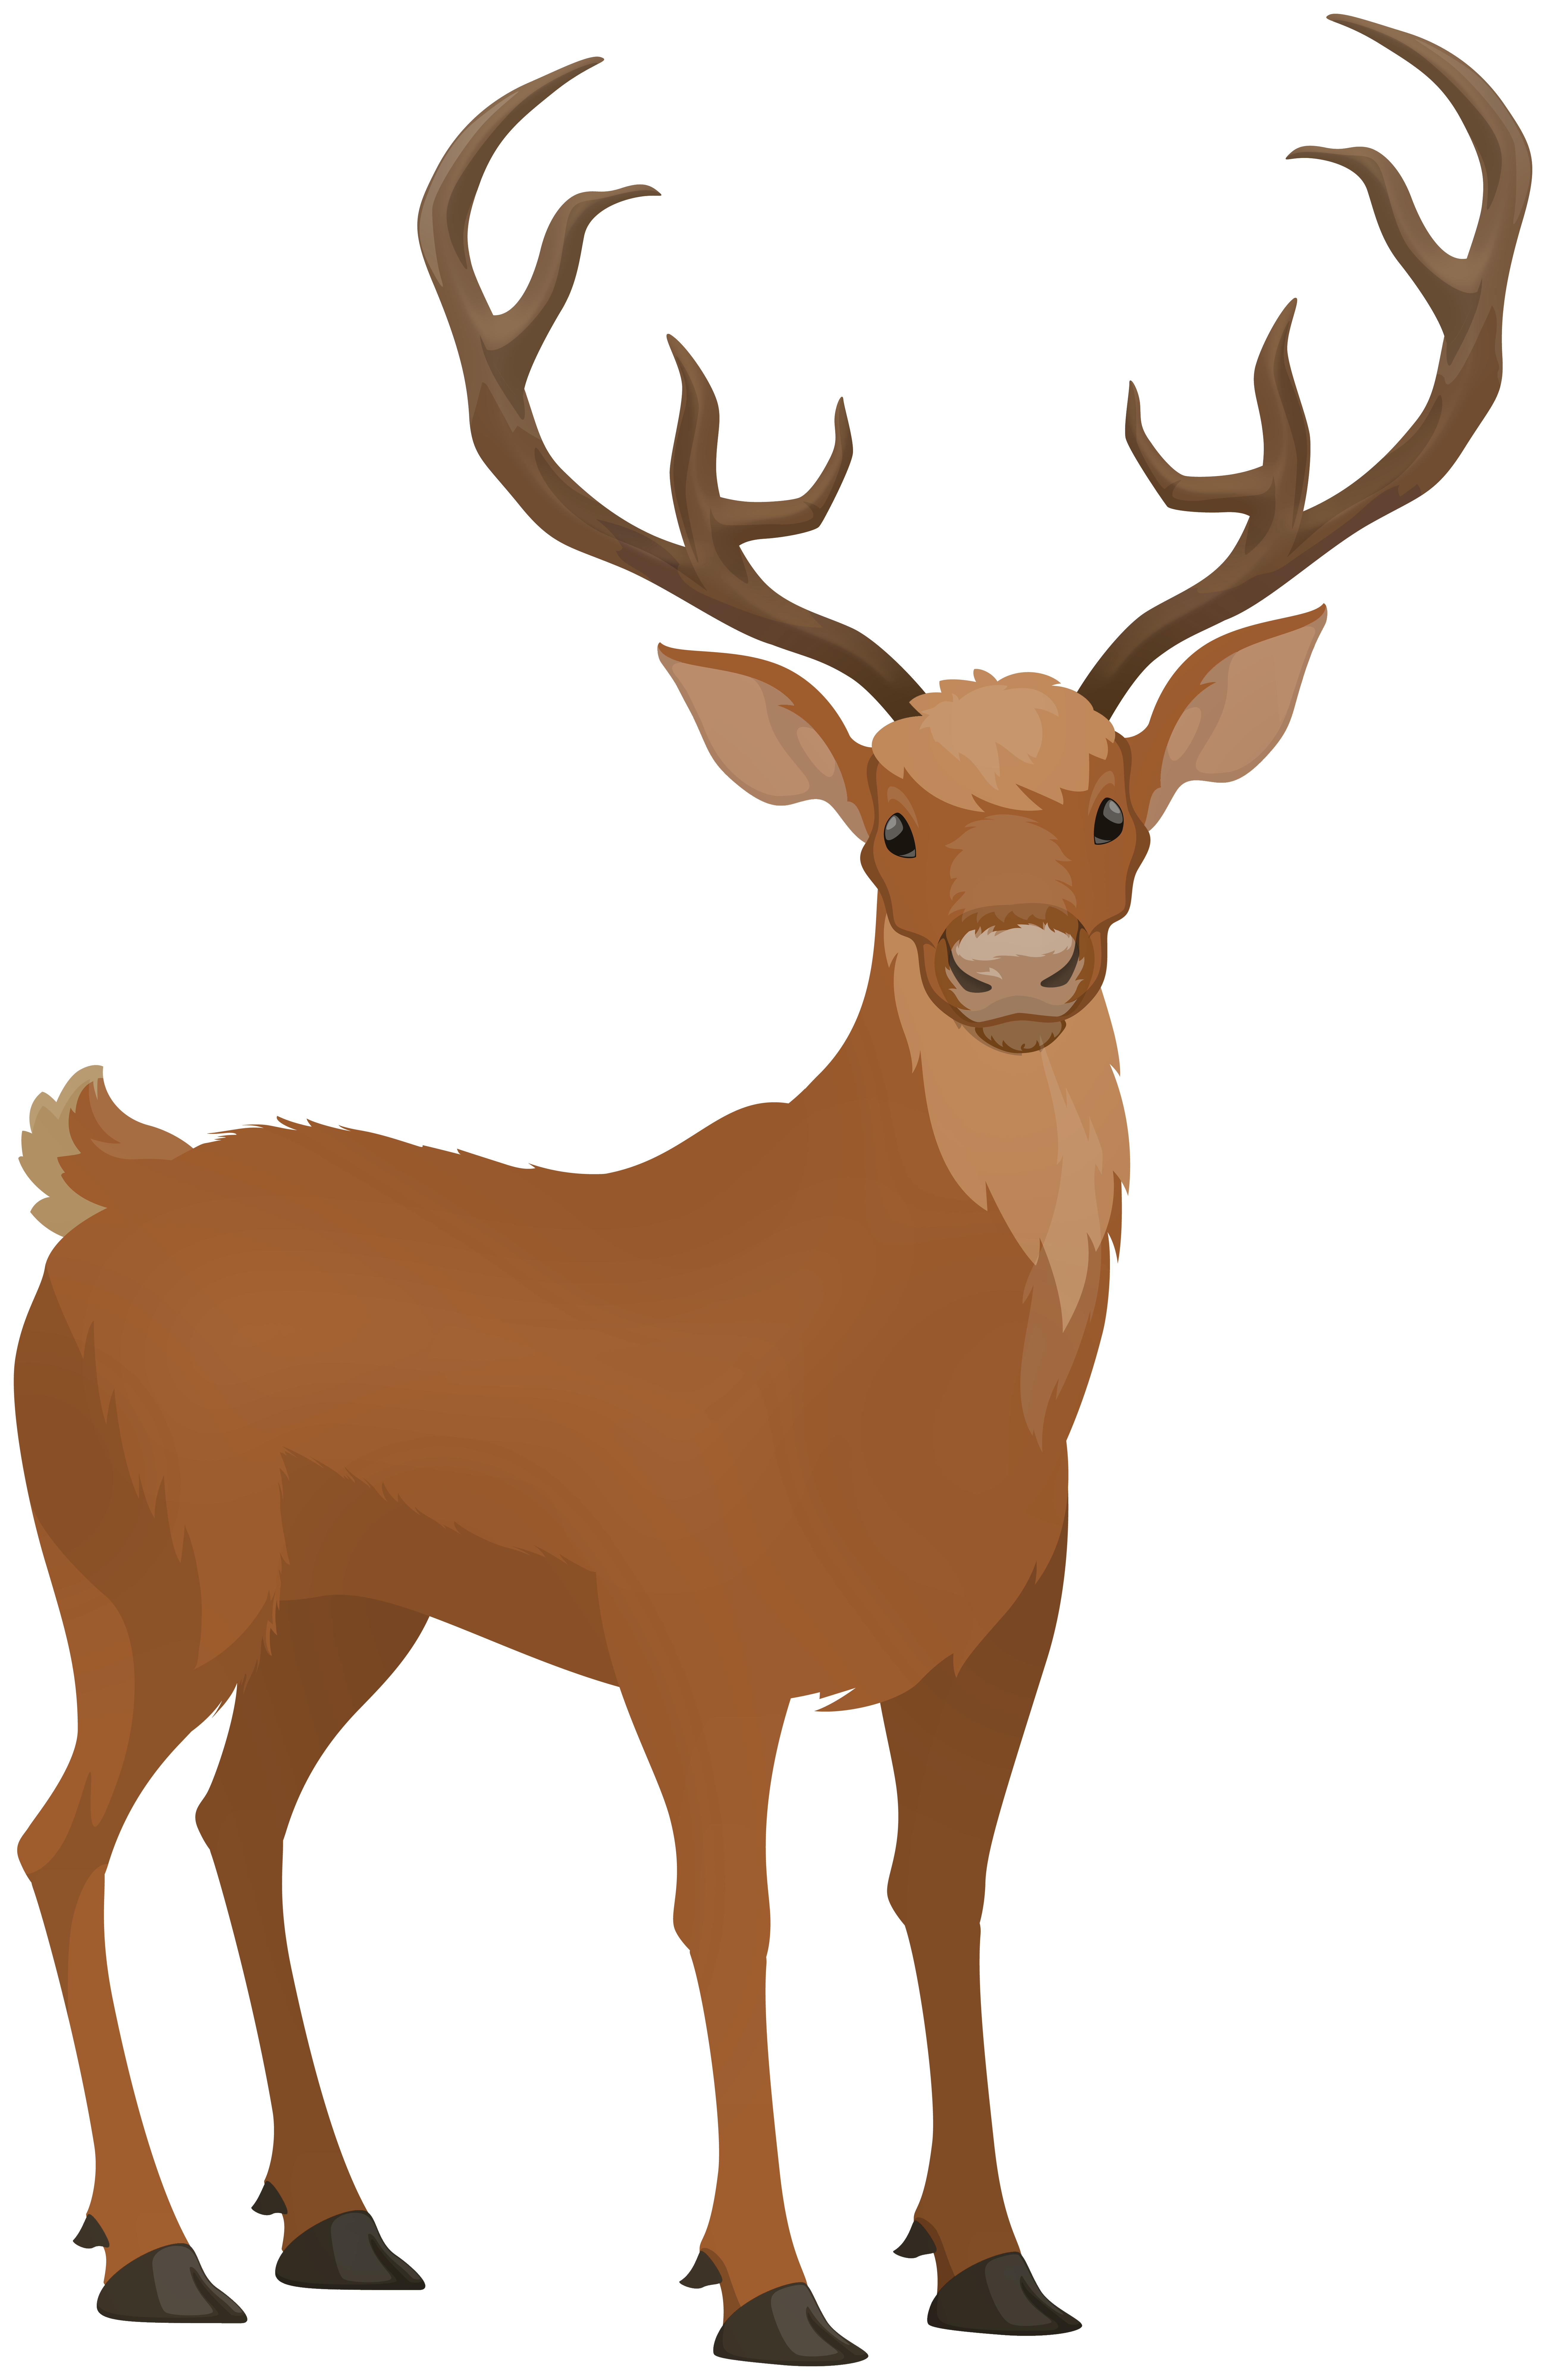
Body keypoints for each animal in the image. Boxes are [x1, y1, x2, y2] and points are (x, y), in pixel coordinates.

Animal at [16, 13, 1525, 2360]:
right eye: (889, 828)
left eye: (1109, 807)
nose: (1015, 961)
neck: (880, 1377)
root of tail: (96, 1194)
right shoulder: (687, 1619)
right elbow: (721, 1915)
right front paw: (767, 2284)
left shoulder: (994, 1637)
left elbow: (941, 1893)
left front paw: (989, 2256)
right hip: (143, 1561)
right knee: (70, 1834)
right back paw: (166, 2247)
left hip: (344, 1594)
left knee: (240, 1818)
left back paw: (337, 2218)